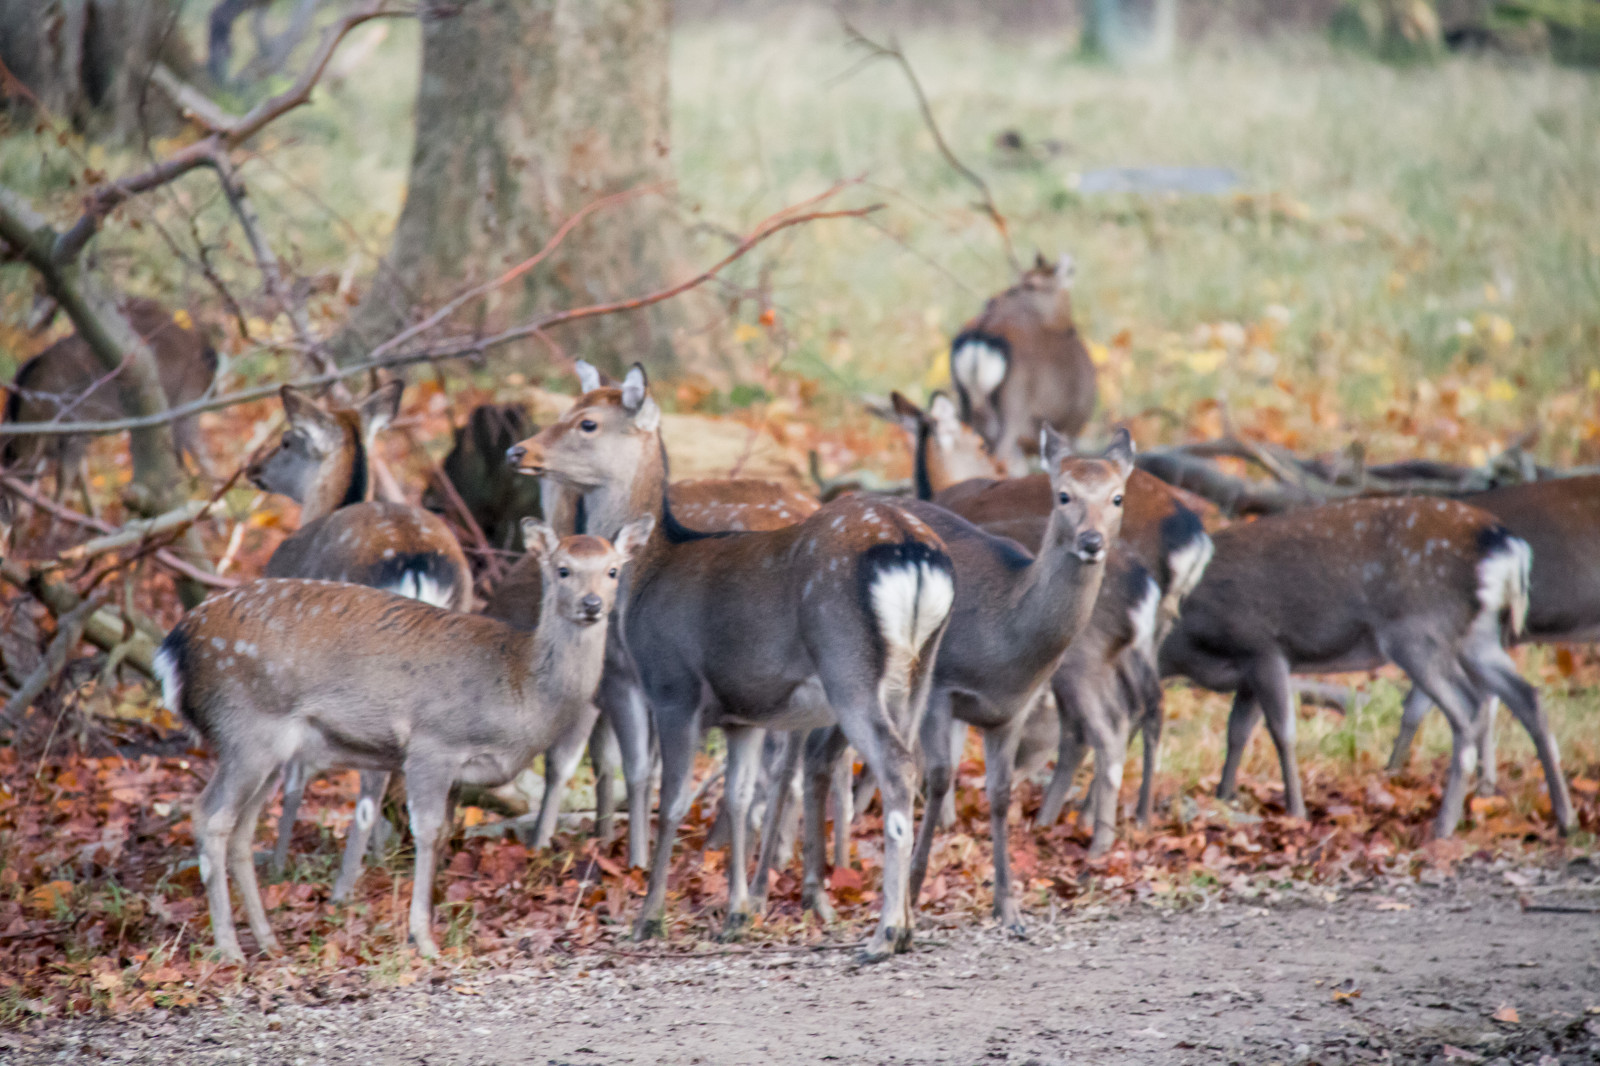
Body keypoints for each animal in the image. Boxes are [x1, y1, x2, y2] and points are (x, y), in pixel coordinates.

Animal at [154, 519, 649, 962]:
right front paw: (423, 940)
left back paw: (268, 940)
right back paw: (229, 949)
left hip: (271, 750)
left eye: (613, 571)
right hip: (245, 728)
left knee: (241, 828)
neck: (519, 689)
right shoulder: (433, 743)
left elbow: (444, 831)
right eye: (563, 569)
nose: (591, 604)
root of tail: (172, 649)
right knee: (209, 816)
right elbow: (427, 832)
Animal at [245, 381, 472, 898]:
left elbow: (295, 770)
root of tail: (417, 562)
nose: (253, 470)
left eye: (286, 441)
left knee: (370, 779)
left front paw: (278, 862)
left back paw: (342, 889)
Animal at [507, 365, 955, 961]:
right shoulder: (745, 715)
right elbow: (740, 799)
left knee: (896, 765)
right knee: (911, 762)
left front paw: (649, 917)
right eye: (566, 409)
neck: (650, 572)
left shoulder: (672, 685)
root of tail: (913, 550)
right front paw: (737, 917)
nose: (518, 450)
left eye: (587, 422)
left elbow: (670, 797)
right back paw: (901, 923)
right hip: (919, 672)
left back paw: (885, 933)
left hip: (849, 668)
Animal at [949, 252, 1097, 474]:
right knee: (1002, 457)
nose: (992, 301)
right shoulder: (1073, 422)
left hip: (965, 404)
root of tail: (980, 336)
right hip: (1013, 407)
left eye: (1028, 283)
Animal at [1159, 496, 1575, 839]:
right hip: (1479, 634)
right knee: (1528, 697)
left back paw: (1443, 826)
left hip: (1418, 629)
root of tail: (1508, 547)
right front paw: (1223, 797)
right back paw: (1565, 819)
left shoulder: (1264, 647)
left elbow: (1282, 732)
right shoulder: (1246, 669)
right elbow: (1238, 733)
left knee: (1469, 708)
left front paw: (1295, 811)